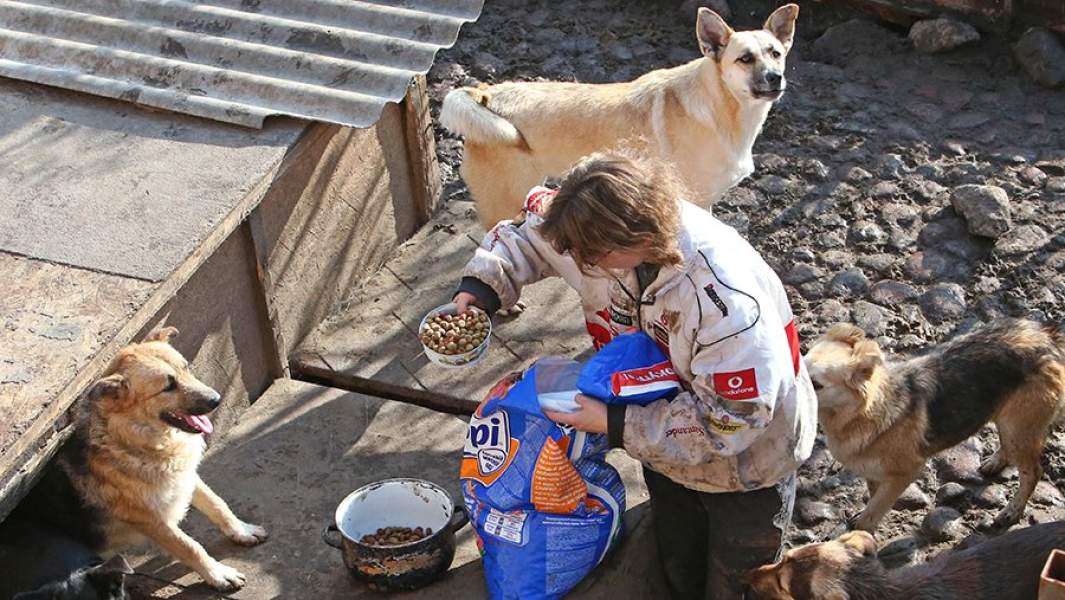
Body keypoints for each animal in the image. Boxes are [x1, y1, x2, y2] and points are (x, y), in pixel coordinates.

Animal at [13, 328, 266, 592]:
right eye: (168, 386)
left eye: (186, 367)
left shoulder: (184, 477)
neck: (134, 441)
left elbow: (218, 505)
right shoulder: (152, 521)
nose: (217, 399)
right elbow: (190, 547)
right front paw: (218, 574)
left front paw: (242, 530)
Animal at [440, 4, 800, 230]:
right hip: (503, 200)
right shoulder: (693, 200)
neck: (722, 106)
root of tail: (487, 95)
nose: (775, 78)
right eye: (745, 59)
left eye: (775, 54)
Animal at [805, 317, 1065, 532]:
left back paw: (1011, 511)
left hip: (1019, 429)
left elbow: (871, 513)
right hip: (1009, 422)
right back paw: (995, 462)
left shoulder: (905, 472)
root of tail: (1046, 337)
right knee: (1009, 448)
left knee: (1032, 473)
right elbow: (873, 498)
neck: (864, 412)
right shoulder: (874, 472)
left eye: (816, 384)